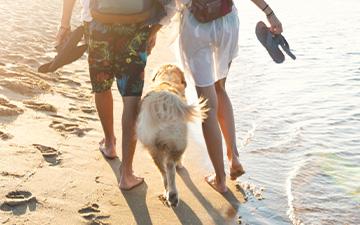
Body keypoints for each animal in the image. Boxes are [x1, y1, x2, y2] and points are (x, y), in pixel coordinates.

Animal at [136, 64, 207, 207]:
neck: (167, 80)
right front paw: (180, 165)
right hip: (179, 141)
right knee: (170, 165)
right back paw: (173, 193)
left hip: (152, 146)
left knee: (163, 171)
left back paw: (168, 193)